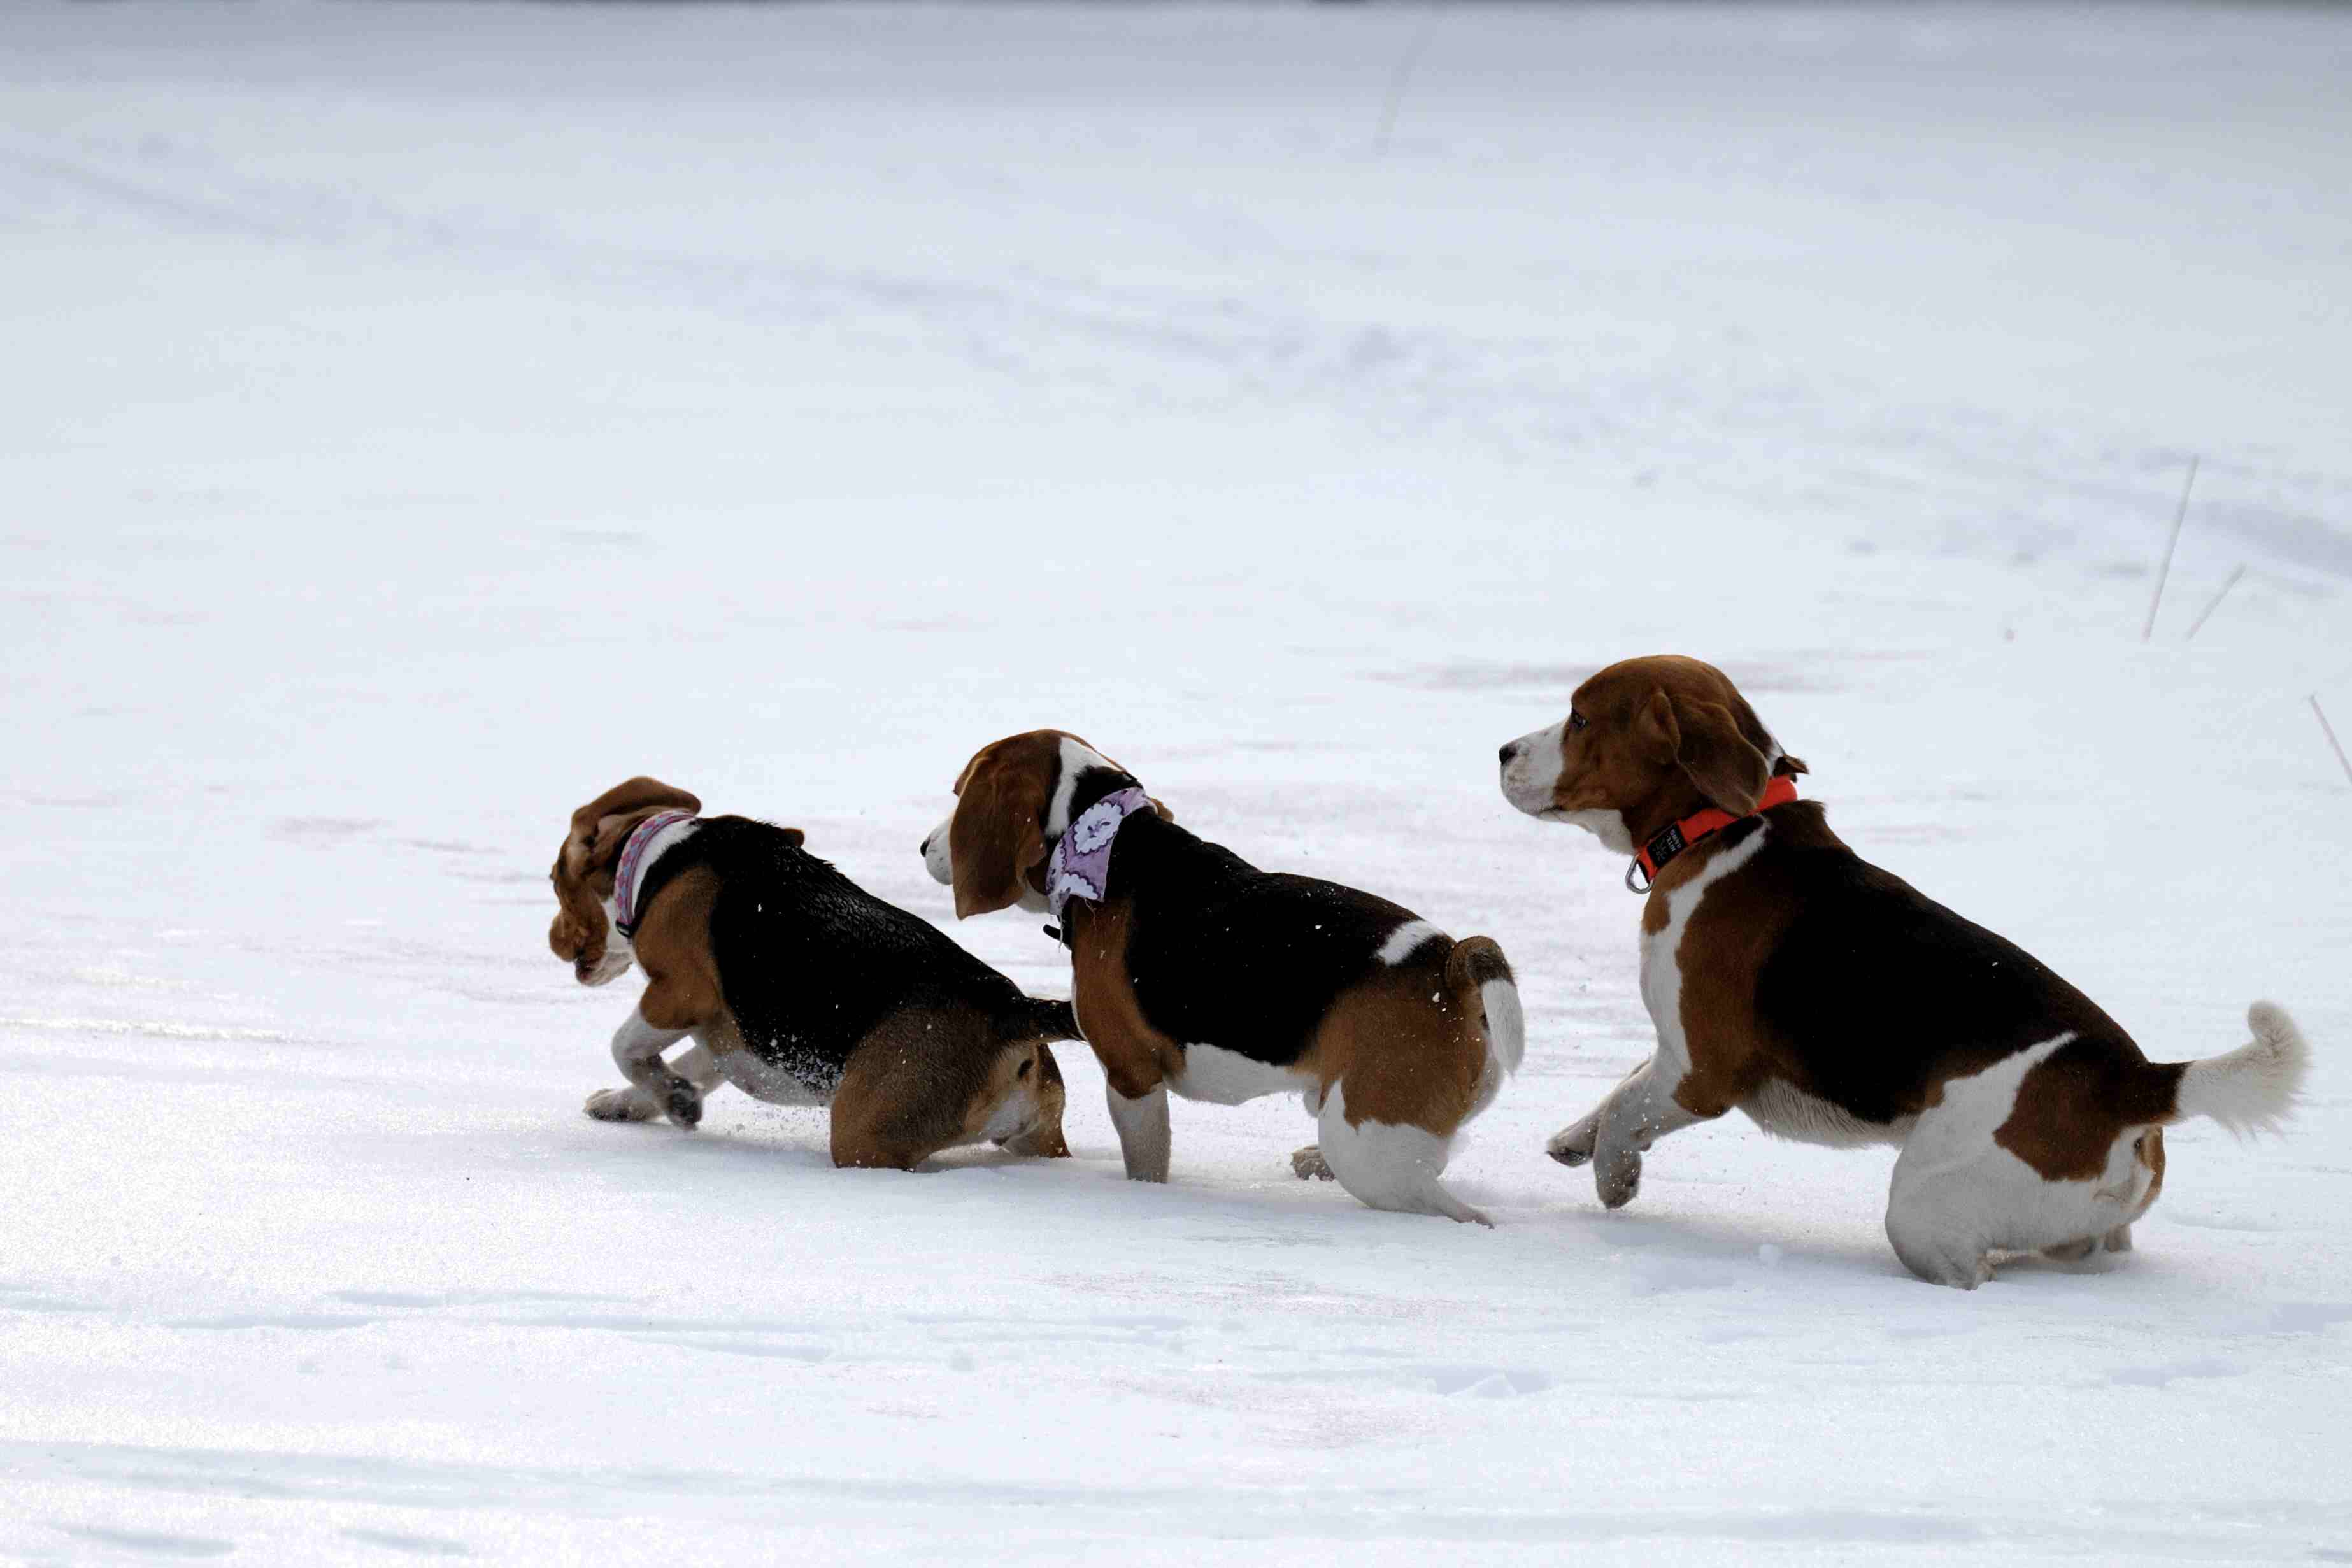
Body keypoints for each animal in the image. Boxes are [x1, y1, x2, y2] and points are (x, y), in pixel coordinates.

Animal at [550, 780, 1077, 1171]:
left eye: (555, 883)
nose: (553, 940)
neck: (658, 858)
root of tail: (1010, 1009)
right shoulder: (730, 1038)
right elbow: (687, 1064)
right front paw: (629, 1103)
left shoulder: (679, 994)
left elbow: (625, 1047)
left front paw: (674, 1100)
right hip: (1038, 1137)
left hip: (864, 1138)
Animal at [917, 733, 1524, 1222]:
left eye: (959, 793)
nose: (925, 847)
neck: (1115, 843)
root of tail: (1448, 960)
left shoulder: (1131, 1075)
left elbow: (1147, 1159)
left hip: (1367, 1147)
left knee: (1460, 1215)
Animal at [1495, 658, 2305, 1288]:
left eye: (1579, 717)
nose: (1502, 749)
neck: (1718, 829)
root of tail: (2133, 1078)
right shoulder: (1670, 1053)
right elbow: (1617, 1091)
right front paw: (1572, 1138)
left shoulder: (1700, 1069)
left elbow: (1627, 1113)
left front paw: (1614, 1175)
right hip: (2082, 1217)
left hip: (1924, 1198)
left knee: (1967, 1266)